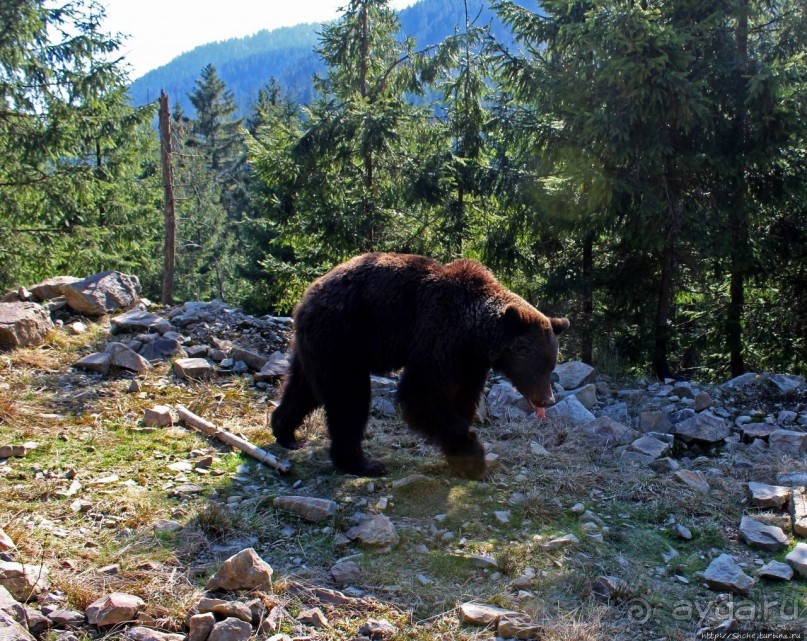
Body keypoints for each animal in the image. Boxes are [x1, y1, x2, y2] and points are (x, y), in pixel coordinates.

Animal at [272, 252, 568, 478]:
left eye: (551, 366)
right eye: (537, 368)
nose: (547, 399)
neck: (475, 335)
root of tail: (307, 294)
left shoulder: (470, 363)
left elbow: (463, 399)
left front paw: (460, 456)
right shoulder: (438, 336)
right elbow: (422, 394)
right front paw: (474, 458)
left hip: (318, 344)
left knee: (303, 387)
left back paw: (285, 432)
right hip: (343, 335)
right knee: (349, 396)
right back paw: (362, 462)